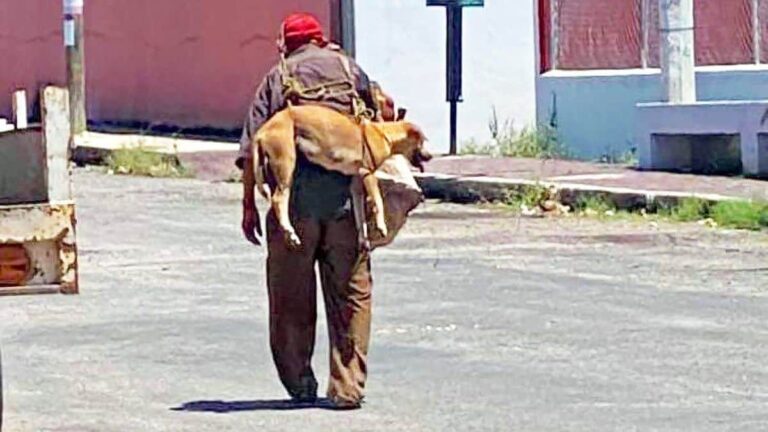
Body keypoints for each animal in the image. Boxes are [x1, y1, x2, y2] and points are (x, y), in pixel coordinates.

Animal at [243, 103, 428, 248]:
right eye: (423, 140)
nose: (430, 155)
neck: (385, 134)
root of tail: (263, 129)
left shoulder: (356, 184)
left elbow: (360, 215)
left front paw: (363, 239)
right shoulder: (367, 173)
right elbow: (378, 201)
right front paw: (381, 225)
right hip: (286, 162)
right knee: (278, 199)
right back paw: (290, 231)